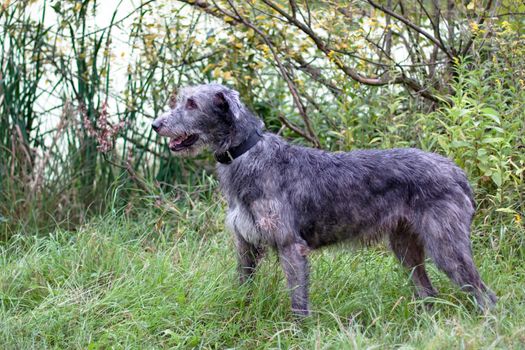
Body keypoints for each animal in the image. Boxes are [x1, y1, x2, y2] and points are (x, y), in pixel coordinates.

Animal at [151, 83, 496, 316]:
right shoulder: (246, 244)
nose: (155, 124)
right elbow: (243, 287)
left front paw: (296, 334)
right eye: (181, 99)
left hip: (446, 246)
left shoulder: (290, 246)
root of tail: (456, 171)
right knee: (428, 291)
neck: (247, 154)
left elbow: (297, 301)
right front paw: (239, 313)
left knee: (484, 295)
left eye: (192, 104)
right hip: (405, 246)